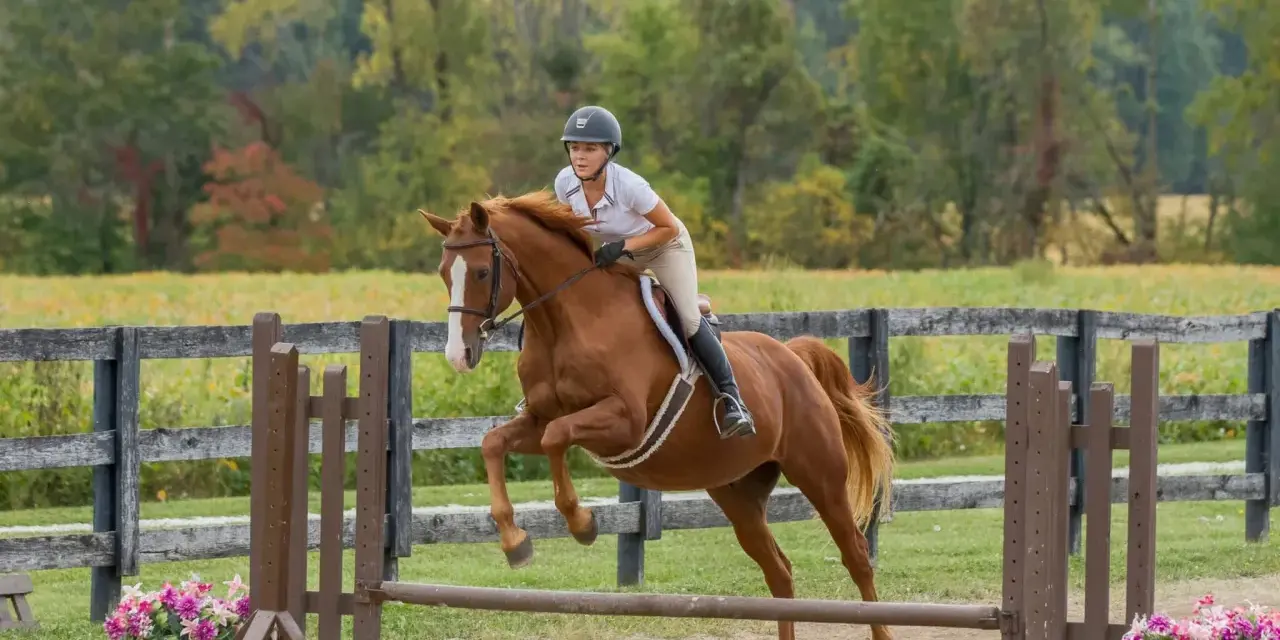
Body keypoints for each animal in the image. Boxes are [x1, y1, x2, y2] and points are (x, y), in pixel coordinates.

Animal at [418, 191, 897, 640]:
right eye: (443, 273)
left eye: (482, 272)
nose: (459, 356)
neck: (566, 324)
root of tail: (793, 357)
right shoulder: (537, 420)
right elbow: (495, 442)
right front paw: (515, 542)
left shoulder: (623, 421)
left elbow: (558, 436)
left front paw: (582, 523)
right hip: (737, 493)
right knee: (779, 571)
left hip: (820, 475)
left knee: (856, 556)